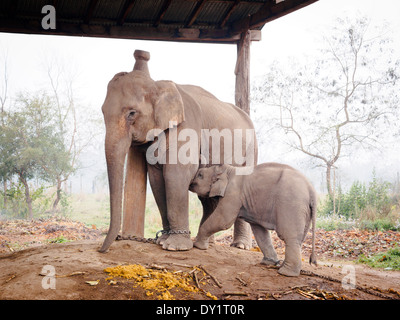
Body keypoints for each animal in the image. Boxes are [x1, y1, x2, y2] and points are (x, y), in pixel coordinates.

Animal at [98, 50, 258, 252]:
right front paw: (161, 240)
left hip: (252, 149)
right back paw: (205, 244)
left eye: (132, 113)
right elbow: (157, 179)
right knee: (206, 197)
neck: (157, 84)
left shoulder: (187, 127)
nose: (101, 249)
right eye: (102, 112)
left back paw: (240, 246)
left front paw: (175, 247)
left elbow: (175, 175)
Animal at [189, 164, 318, 276]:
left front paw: (198, 246)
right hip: (304, 211)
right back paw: (281, 266)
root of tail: (311, 190)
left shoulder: (232, 193)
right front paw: (268, 262)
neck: (229, 169)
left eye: (200, 175)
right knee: (299, 238)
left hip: (291, 204)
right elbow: (259, 230)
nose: (190, 183)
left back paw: (285, 273)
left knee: (289, 236)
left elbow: (224, 220)